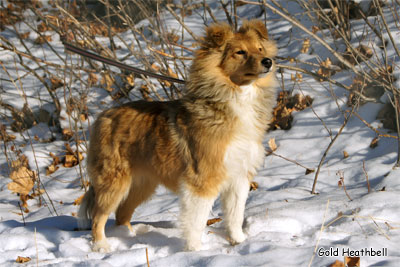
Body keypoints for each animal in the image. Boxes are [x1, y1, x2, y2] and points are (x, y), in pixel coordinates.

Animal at [78, 19, 278, 253]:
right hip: (114, 182)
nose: (268, 62)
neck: (235, 97)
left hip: (141, 184)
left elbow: (235, 215)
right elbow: (197, 220)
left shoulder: (239, 175)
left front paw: (239, 241)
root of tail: (104, 116)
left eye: (260, 49)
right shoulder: (202, 179)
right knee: (98, 217)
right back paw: (102, 246)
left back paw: (130, 237)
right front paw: (194, 249)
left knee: (121, 214)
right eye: (240, 52)